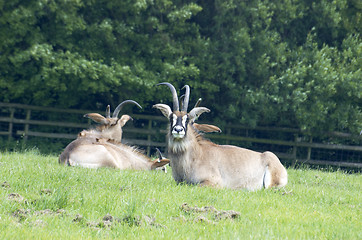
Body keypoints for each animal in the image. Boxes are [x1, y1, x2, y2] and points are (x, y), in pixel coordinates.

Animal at [153, 83, 288, 190]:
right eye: (171, 118)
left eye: (187, 119)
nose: (178, 129)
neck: (196, 155)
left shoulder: (214, 182)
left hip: (271, 185)